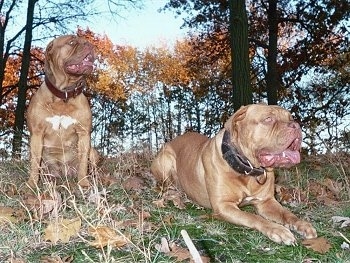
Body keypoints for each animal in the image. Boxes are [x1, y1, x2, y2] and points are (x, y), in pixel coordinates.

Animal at [26, 35, 98, 189]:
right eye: (72, 42)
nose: (89, 44)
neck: (63, 95)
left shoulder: (84, 134)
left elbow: (83, 161)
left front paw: (83, 183)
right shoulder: (37, 134)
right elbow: (35, 162)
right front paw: (32, 183)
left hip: (93, 152)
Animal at [150, 104, 318, 246]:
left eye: (291, 118)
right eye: (268, 119)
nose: (296, 126)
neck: (248, 169)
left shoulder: (267, 202)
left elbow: (287, 214)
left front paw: (302, 224)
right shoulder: (224, 206)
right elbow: (253, 217)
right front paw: (278, 230)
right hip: (165, 162)